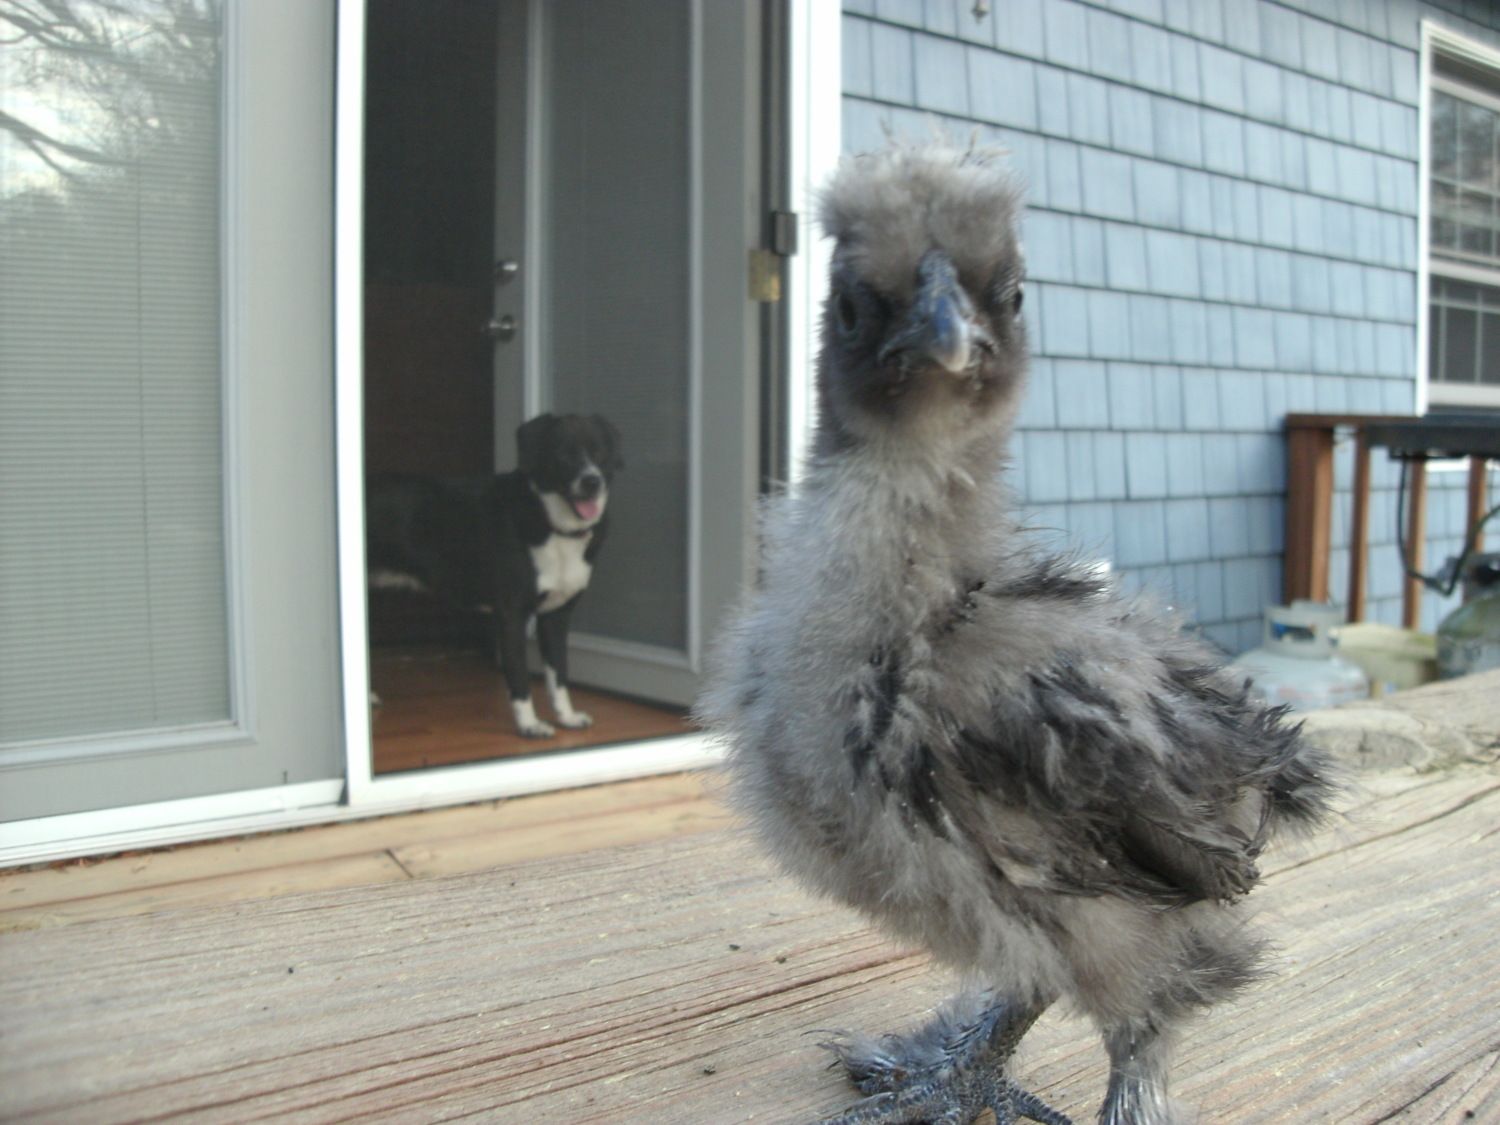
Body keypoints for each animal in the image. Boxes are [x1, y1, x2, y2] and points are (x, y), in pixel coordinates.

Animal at [366, 413, 623, 737]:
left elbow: (559, 675)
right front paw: (529, 725)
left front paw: (567, 717)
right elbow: (520, 677)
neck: (553, 525)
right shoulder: (511, 614)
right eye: (564, 454)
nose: (592, 481)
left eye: (600, 454)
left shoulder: (556, 616)